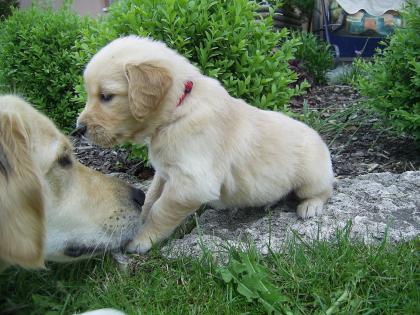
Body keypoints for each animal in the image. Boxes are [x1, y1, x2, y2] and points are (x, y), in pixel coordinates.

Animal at [76, 37, 334, 254]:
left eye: (106, 96)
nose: (78, 129)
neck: (178, 110)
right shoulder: (165, 173)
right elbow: (150, 198)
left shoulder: (191, 183)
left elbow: (160, 209)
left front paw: (141, 240)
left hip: (311, 176)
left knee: (325, 190)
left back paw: (310, 207)